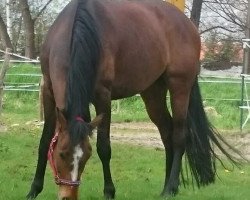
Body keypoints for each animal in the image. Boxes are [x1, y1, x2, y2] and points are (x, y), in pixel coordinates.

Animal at [26, 0, 237, 199]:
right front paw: (34, 190)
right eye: (61, 154)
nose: (67, 196)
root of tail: (189, 26)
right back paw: (166, 186)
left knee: (178, 137)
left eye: (86, 156)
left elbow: (104, 147)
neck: (77, 32)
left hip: (180, 87)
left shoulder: (103, 96)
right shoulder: (49, 91)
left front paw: (109, 191)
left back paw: (171, 187)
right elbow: (44, 141)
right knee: (167, 133)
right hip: (153, 93)